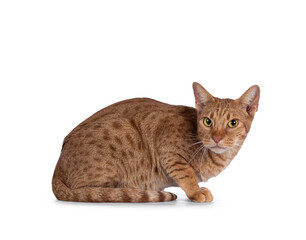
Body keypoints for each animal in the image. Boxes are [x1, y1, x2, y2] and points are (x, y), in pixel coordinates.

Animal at [51, 82, 260, 202]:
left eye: (233, 123)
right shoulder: (167, 146)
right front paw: (196, 191)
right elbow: (186, 173)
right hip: (123, 129)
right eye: (207, 121)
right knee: (88, 190)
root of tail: (58, 165)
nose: (216, 137)